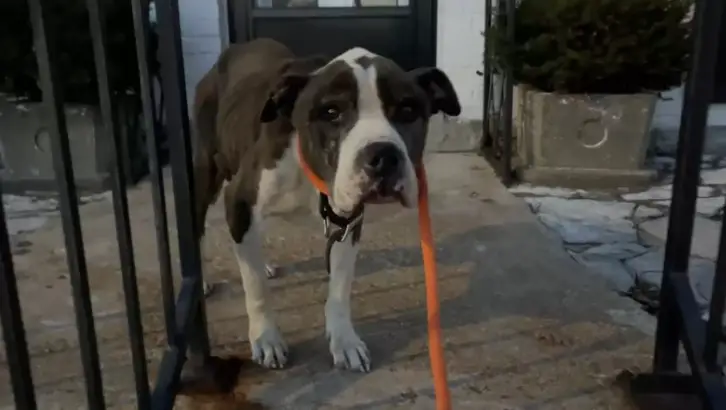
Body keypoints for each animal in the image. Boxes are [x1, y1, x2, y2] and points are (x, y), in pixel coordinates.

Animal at [193, 37, 460, 372]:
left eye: (409, 110)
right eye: (331, 112)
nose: (384, 156)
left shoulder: (349, 221)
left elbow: (340, 288)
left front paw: (344, 340)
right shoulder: (239, 201)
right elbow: (255, 288)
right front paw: (266, 337)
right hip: (205, 174)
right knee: (199, 228)